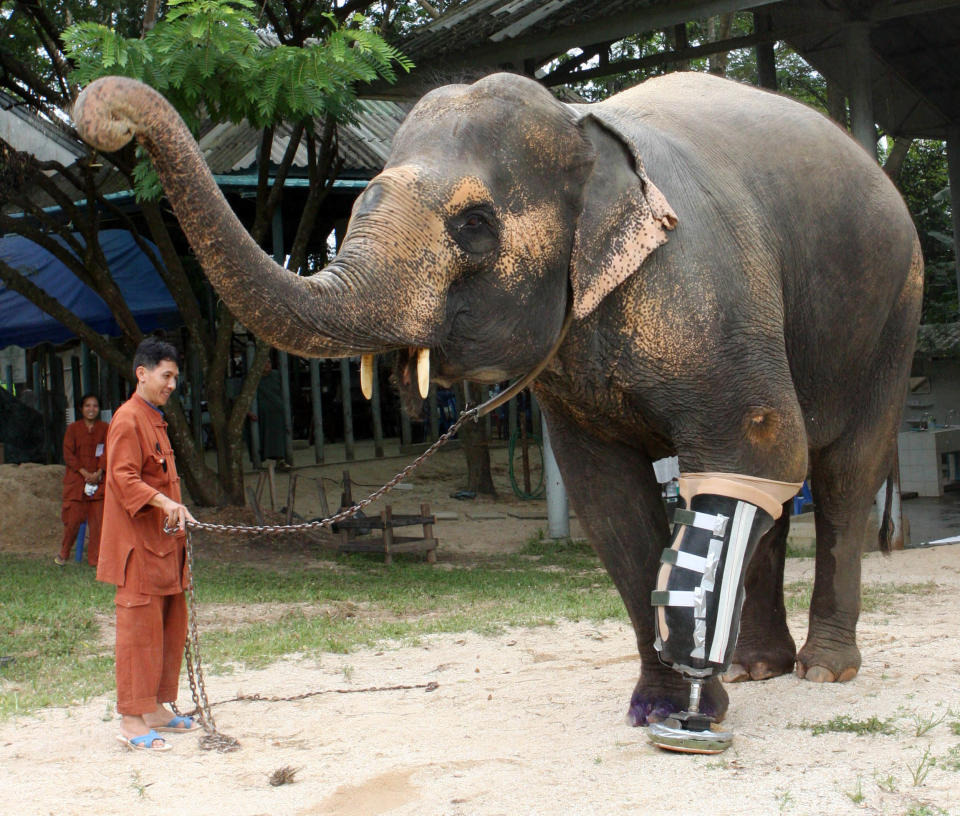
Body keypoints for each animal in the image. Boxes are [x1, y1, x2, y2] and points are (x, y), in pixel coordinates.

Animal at [75, 70, 924, 728]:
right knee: (786, 495)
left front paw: (692, 707)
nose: (105, 118)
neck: (585, 127)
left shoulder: (702, 289)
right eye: (358, 204)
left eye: (476, 226)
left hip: (893, 313)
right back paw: (756, 667)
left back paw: (825, 670)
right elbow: (607, 496)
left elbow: (756, 442)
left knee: (841, 475)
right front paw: (657, 706)